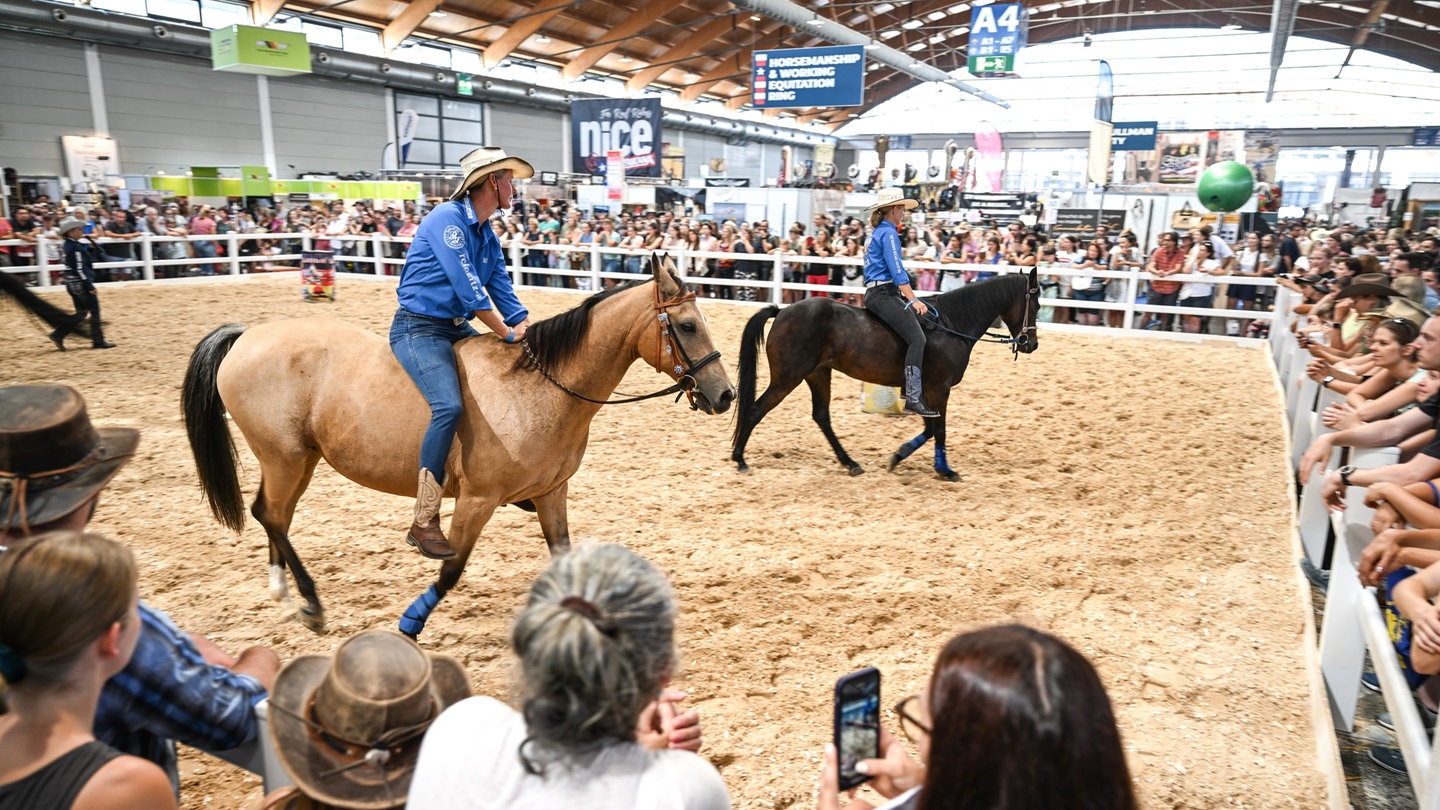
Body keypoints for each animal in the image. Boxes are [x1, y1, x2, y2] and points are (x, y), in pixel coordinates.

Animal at [184, 255, 737, 634]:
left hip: (299, 461)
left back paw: (285, 594)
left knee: (273, 515)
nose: (725, 394)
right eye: (687, 325)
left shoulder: (551, 493)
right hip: (285, 458)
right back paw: (311, 601)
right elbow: (451, 570)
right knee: (272, 515)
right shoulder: (476, 500)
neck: (540, 389)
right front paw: (410, 623)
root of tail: (247, 336)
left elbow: (563, 559)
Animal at [731, 268, 1036, 478]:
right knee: (756, 409)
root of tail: (782, 312)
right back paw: (740, 458)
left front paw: (898, 456)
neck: (951, 324)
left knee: (821, 416)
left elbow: (930, 428)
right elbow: (939, 429)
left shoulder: (926, 393)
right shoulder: (939, 388)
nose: (1030, 344)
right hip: (788, 378)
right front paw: (945, 470)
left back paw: (850, 463)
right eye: (1035, 304)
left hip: (817, 374)